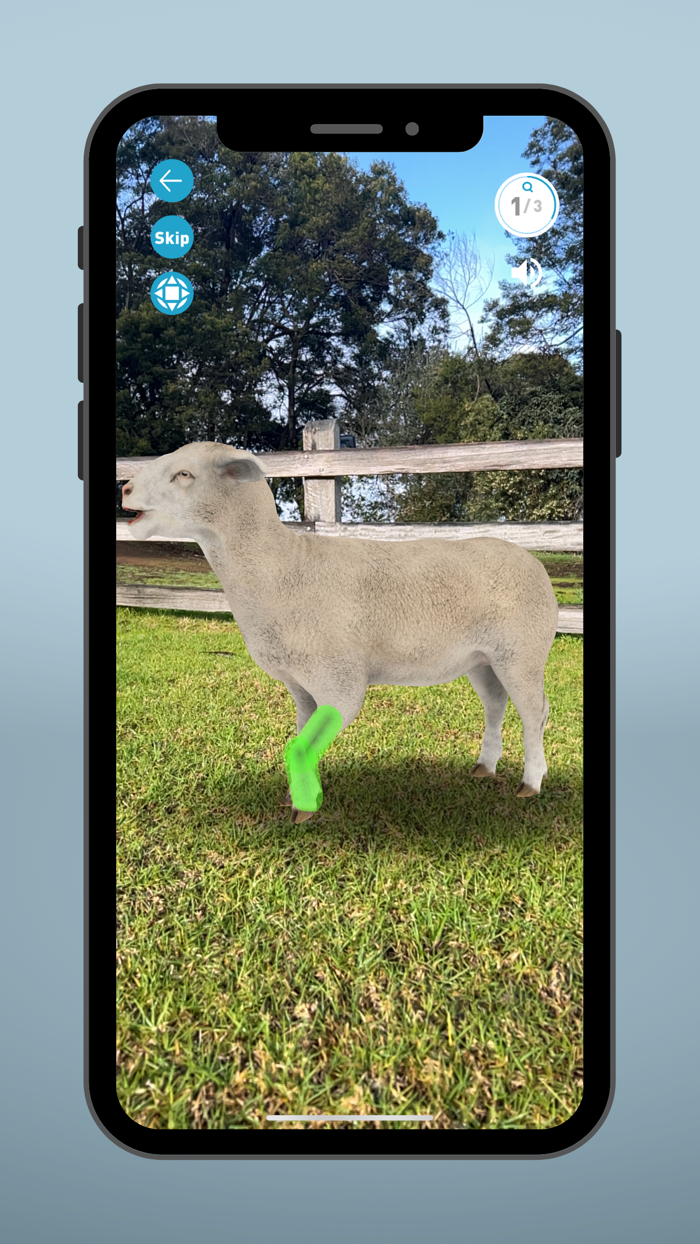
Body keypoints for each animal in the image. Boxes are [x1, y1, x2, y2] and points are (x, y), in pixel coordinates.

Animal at [122, 441, 560, 823]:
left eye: (184, 474)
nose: (125, 488)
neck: (282, 569)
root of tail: (534, 561)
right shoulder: (301, 685)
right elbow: (301, 738)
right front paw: (298, 795)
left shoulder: (339, 678)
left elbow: (303, 743)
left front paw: (303, 808)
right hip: (482, 658)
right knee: (496, 704)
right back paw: (485, 766)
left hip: (523, 651)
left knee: (535, 712)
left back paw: (531, 783)